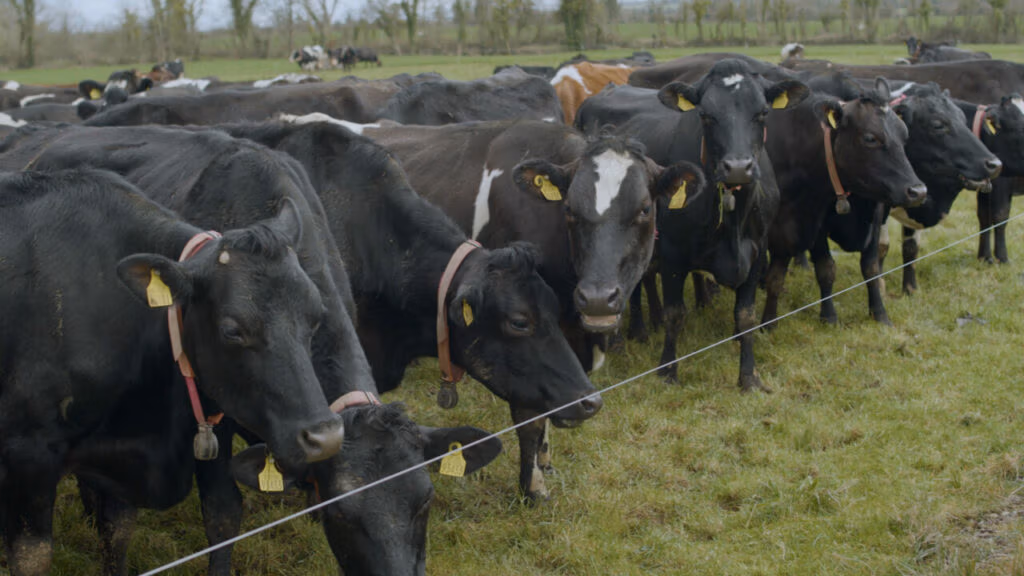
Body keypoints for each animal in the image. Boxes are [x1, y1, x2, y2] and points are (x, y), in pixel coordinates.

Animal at [0, 124, 380, 573]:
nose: (324, 436)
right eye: (232, 330)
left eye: (315, 315)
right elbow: (33, 556)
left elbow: (121, 531)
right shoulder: (29, 454)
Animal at [577, 59, 810, 391]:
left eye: (763, 112)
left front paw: (748, 376)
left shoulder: (757, 251)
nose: (738, 167)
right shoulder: (674, 254)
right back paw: (635, 333)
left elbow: (746, 317)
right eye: (705, 115)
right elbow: (676, 314)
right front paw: (667, 370)